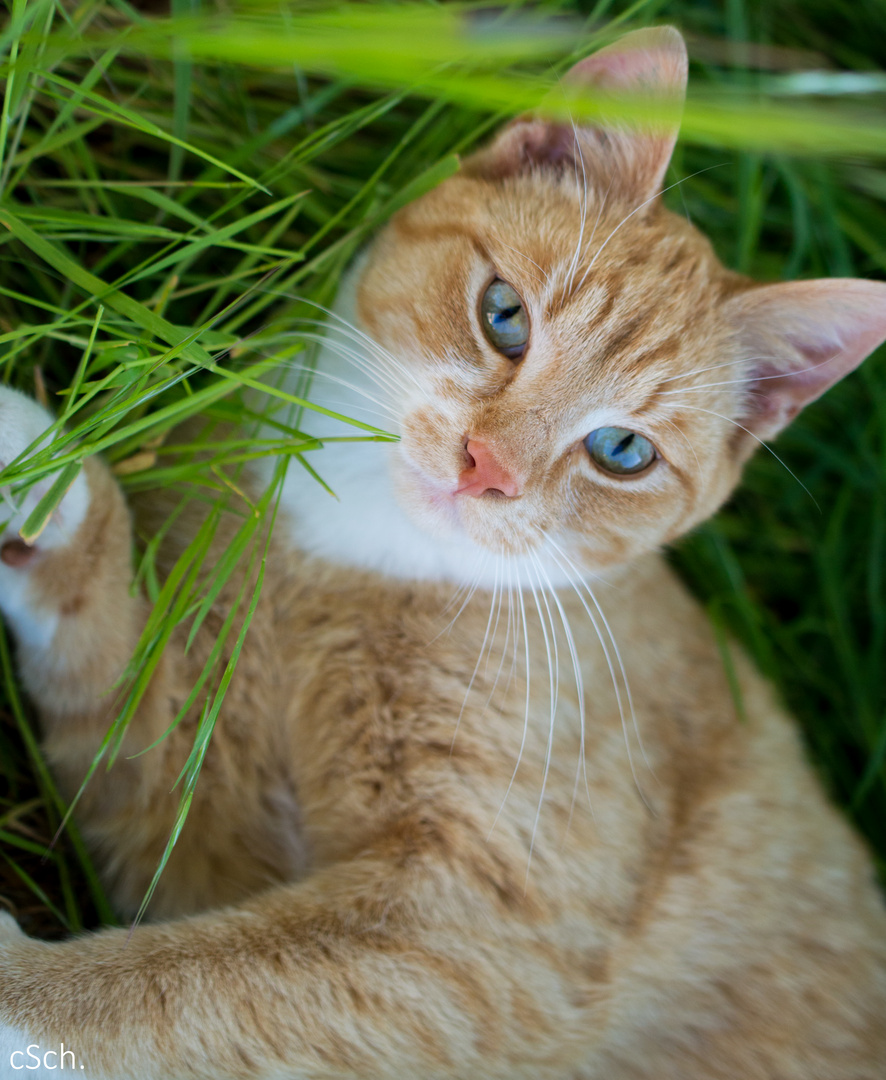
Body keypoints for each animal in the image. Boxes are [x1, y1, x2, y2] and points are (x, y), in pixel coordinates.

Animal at [1, 23, 886, 1080]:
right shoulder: (194, 820)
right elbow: (112, 683)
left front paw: (16, 985)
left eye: (622, 451)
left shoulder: (475, 932)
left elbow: (173, 987)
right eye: (505, 315)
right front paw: (44, 486)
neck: (363, 544)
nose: (485, 468)